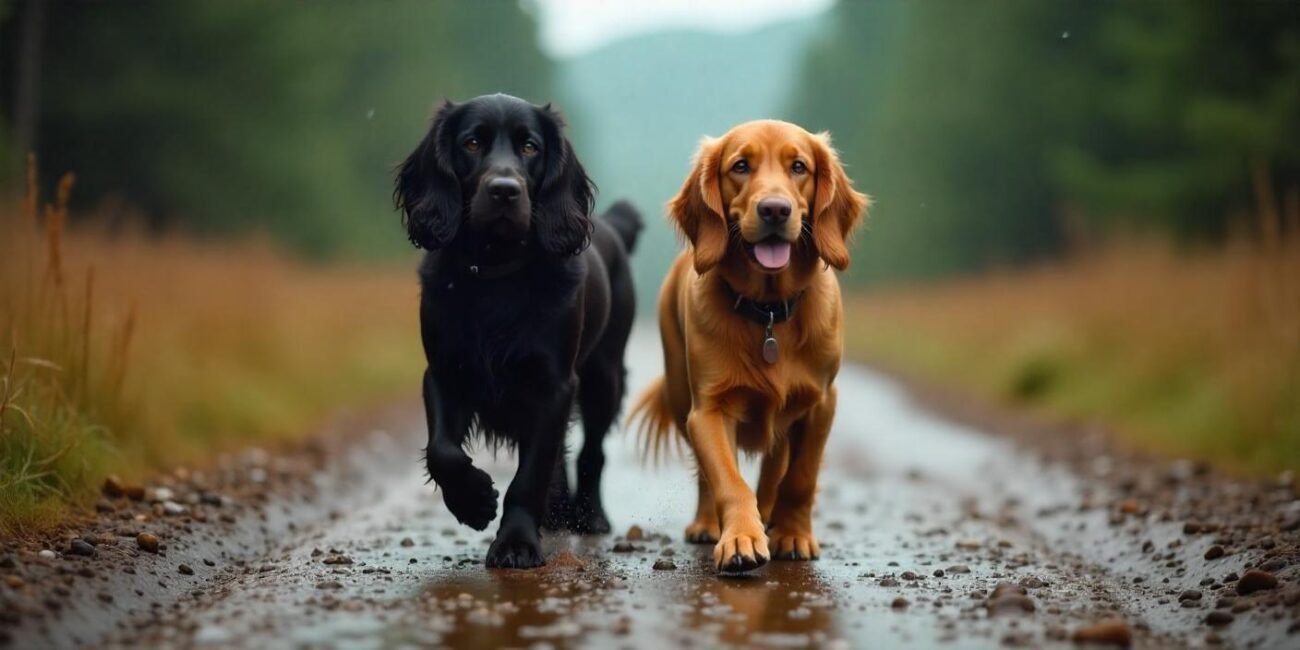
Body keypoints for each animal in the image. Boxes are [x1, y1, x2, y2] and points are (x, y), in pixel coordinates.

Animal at [392, 94, 642, 566]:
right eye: (471, 142)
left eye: (530, 147)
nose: (504, 190)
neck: (497, 271)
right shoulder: (445, 372)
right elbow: (442, 451)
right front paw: (473, 500)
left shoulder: (554, 384)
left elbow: (530, 474)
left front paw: (517, 542)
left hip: (605, 376)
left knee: (591, 451)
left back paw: (589, 516)